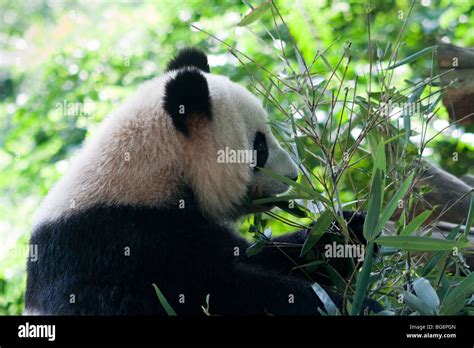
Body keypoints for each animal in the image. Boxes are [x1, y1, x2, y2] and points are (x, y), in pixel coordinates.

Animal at [25, 47, 382, 316]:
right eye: (260, 147)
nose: (293, 175)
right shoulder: (117, 241)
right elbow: (219, 289)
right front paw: (353, 303)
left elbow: (261, 255)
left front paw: (351, 231)